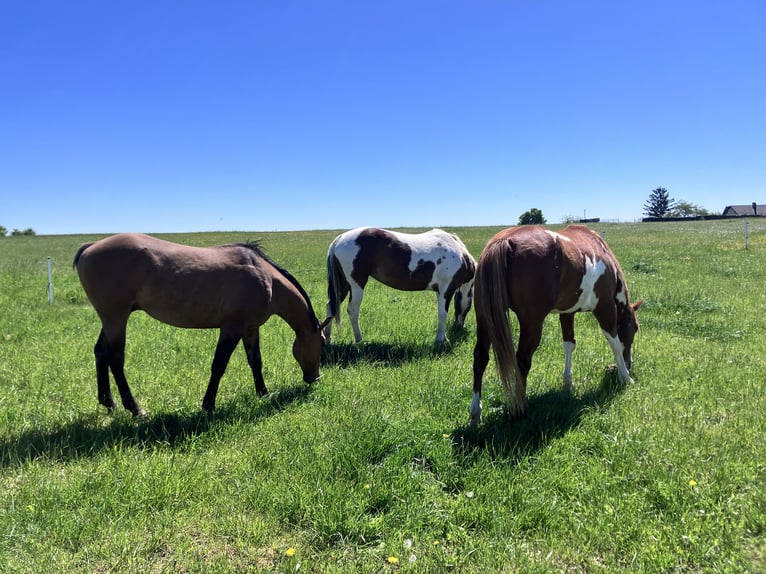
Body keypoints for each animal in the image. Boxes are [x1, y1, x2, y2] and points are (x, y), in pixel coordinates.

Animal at [73, 233, 330, 416]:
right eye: (322, 344)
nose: (315, 378)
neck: (265, 277)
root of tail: (91, 246)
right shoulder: (231, 328)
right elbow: (219, 366)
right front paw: (208, 405)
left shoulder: (250, 328)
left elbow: (255, 362)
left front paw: (263, 393)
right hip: (116, 318)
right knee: (116, 358)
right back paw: (135, 409)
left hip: (111, 318)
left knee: (101, 352)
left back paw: (109, 403)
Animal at [324, 227, 476, 344]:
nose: (459, 327)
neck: (459, 253)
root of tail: (339, 239)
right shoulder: (446, 290)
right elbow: (443, 314)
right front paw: (440, 340)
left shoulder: (440, 291)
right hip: (356, 286)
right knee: (353, 310)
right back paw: (360, 340)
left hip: (343, 285)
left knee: (331, 307)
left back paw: (327, 339)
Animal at [469, 224, 641, 424]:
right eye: (635, 328)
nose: (630, 363)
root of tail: (503, 241)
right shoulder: (605, 307)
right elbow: (614, 343)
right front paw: (625, 376)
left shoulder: (567, 313)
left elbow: (569, 344)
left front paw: (568, 383)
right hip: (532, 323)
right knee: (522, 360)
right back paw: (521, 409)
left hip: (484, 318)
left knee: (480, 358)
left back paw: (476, 412)